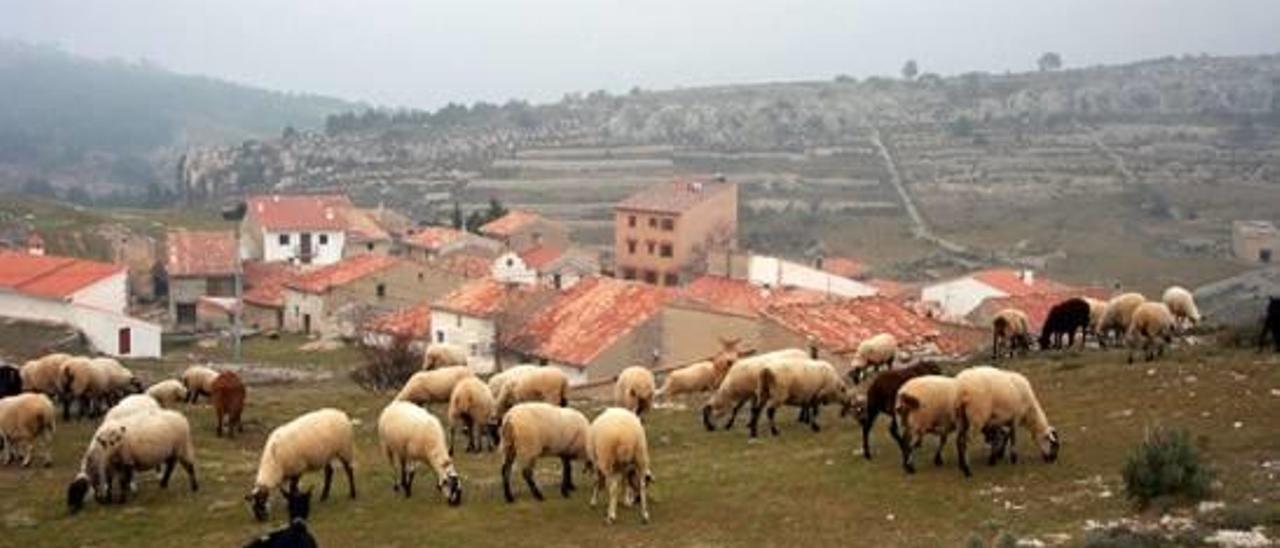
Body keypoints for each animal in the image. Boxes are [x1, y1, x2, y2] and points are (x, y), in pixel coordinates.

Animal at [66, 409, 197, 512]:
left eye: (78, 490)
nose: (71, 510)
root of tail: (180, 415)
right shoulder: (112, 464)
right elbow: (109, 481)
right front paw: (109, 499)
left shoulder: (126, 461)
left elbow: (123, 481)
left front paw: (122, 499)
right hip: (172, 451)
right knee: (171, 465)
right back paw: (163, 484)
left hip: (182, 445)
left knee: (189, 465)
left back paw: (194, 487)